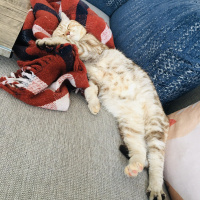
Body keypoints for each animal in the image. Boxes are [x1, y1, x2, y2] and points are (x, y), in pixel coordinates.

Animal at [36, 12, 169, 200]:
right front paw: (94, 105)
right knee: (140, 153)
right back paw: (134, 166)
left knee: (156, 161)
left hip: (154, 126)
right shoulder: (91, 80)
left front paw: (47, 41)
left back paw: (156, 188)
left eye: (68, 27)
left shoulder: (91, 48)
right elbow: (90, 91)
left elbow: (70, 43)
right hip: (130, 127)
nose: (67, 33)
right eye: (63, 30)